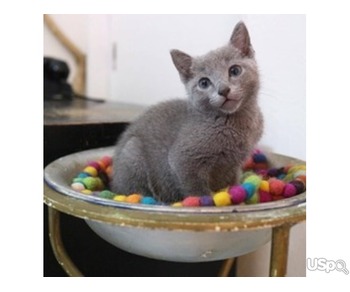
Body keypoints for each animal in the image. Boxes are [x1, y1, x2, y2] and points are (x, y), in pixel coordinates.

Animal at [111, 21, 262, 202]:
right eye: (204, 83)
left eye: (234, 70)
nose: (223, 90)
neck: (235, 121)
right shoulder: (183, 160)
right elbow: (196, 188)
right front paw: (205, 201)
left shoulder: (234, 166)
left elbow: (232, 181)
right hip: (132, 152)